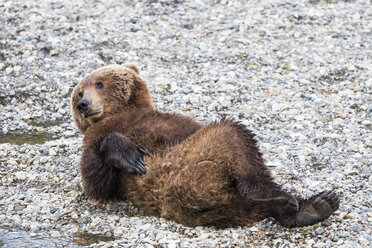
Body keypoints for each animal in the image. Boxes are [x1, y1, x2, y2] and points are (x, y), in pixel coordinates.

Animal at [70, 65, 340, 228]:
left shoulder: (178, 124)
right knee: (230, 133)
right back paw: (275, 194)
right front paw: (129, 155)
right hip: (186, 170)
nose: (83, 104)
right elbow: (96, 182)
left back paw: (315, 206)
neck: (122, 113)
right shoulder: (96, 138)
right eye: (79, 92)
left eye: (99, 83)